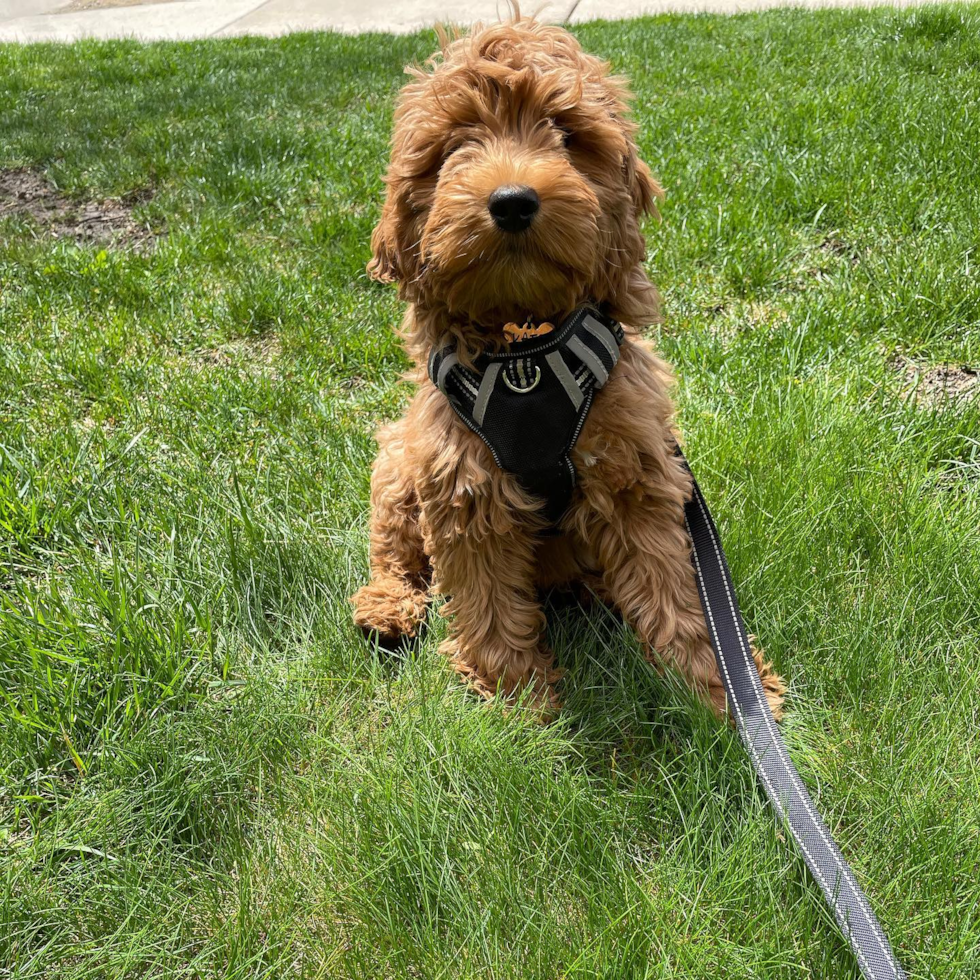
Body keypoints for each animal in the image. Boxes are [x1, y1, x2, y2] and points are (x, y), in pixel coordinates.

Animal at [352, 11, 788, 720]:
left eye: (564, 133)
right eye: (455, 144)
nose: (512, 200)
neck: (525, 345)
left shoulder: (637, 469)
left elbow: (677, 591)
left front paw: (724, 690)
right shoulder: (462, 479)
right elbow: (487, 600)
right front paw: (517, 699)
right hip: (398, 459)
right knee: (392, 548)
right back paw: (386, 607)